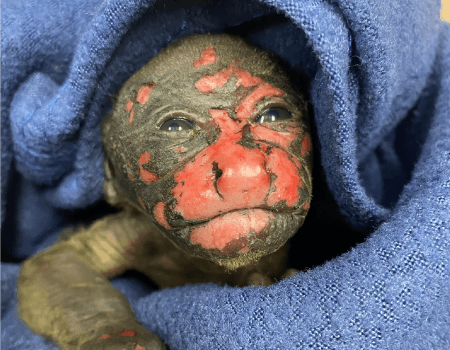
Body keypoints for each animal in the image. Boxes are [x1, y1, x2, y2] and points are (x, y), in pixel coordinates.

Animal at [17, 33, 312, 350]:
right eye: (176, 127)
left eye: (275, 115)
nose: (244, 168)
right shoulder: (138, 231)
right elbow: (57, 264)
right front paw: (116, 336)